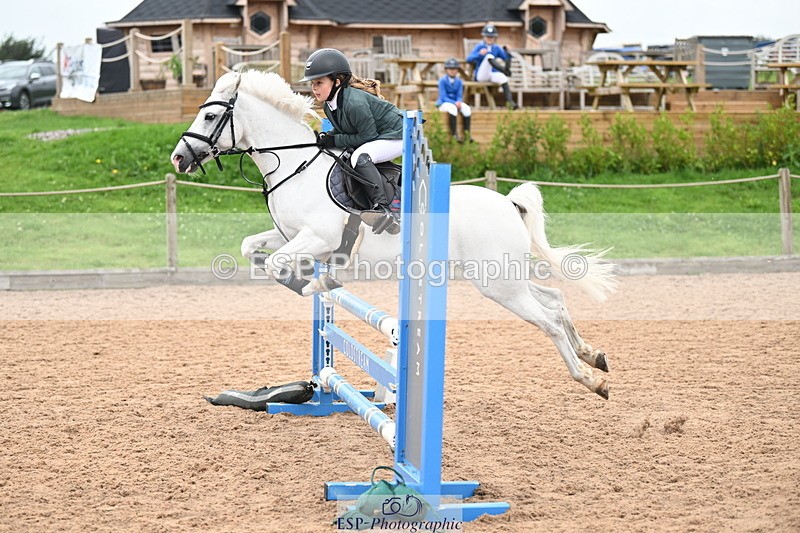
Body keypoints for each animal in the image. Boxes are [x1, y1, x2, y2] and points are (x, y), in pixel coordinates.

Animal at [170, 70, 617, 399]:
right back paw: (593, 356)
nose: (178, 158)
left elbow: (283, 265)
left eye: (209, 117)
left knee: (549, 320)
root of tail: (508, 204)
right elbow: (252, 248)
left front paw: (312, 283)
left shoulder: (319, 237)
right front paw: (311, 279)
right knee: (554, 298)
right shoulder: (291, 235)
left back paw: (590, 380)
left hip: (497, 284)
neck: (294, 166)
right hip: (504, 276)